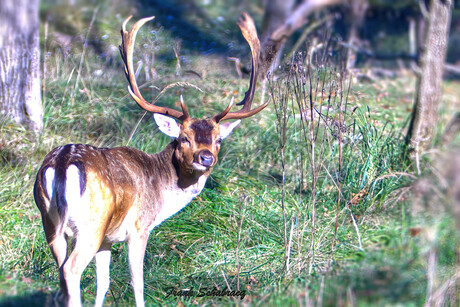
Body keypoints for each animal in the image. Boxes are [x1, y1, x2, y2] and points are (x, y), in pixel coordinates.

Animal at [33, 12, 266, 307]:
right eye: (184, 138)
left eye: (218, 140)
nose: (206, 158)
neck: (162, 195)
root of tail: (62, 163)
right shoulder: (139, 227)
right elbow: (138, 282)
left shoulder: (108, 238)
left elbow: (103, 283)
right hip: (92, 222)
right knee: (71, 270)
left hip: (49, 219)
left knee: (61, 270)